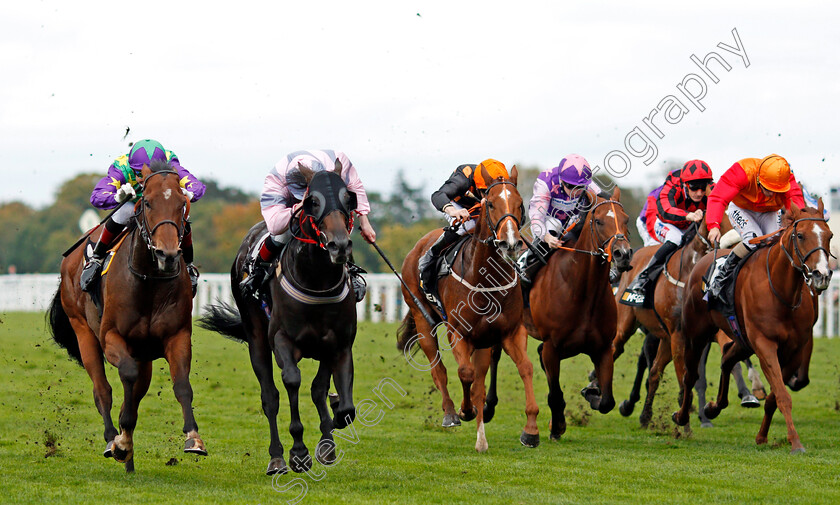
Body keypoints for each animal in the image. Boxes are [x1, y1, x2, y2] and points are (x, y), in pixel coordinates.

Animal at [46, 161, 204, 472]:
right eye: (147, 202)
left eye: (182, 204)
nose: (167, 254)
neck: (149, 282)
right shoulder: (111, 337)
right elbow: (125, 378)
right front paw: (120, 440)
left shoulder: (177, 336)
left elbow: (182, 385)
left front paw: (193, 438)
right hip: (84, 333)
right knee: (102, 390)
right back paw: (112, 440)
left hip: (144, 353)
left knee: (136, 389)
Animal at [200, 159, 358, 474]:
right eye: (312, 202)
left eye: (349, 199)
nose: (339, 246)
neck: (317, 281)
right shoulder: (282, 340)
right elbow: (292, 382)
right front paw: (298, 452)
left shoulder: (339, 344)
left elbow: (338, 402)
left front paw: (330, 433)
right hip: (257, 340)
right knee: (270, 397)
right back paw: (277, 458)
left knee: (316, 390)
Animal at [396, 163, 540, 450]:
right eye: (491, 204)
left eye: (520, 204)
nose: (510, 243)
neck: (486, 276)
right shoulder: (458, 333)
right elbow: (464, 372)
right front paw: (465, 411)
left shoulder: (510, 331)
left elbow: (525, 368)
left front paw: (530, 429)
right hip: (422, 319)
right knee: (439, 370)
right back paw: (451, 413)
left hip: (483, 340)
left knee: (479, 379)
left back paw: (481, 438)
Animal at [520, 187, 632, 440]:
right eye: (599, 221)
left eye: (626, 220)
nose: (623, 254)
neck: (582, 291)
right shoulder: (552, 348)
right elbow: (555, 394)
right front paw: (557, 426)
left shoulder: (603, 348)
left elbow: (607, 401)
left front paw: (591, 392)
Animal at [672, 202, 832, 452]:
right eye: (800, 235)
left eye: (829, 235)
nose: (821, 275)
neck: (781, 290)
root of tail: (705, 259)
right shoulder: (765, 344)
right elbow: (783, 395)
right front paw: (795, 442)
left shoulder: (794, 350)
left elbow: (774, 397)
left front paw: (763, 436)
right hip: (696, 334)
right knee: (691, 375)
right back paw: (682, 417)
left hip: (742, 339)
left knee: (727, 358)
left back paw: (714, 407)